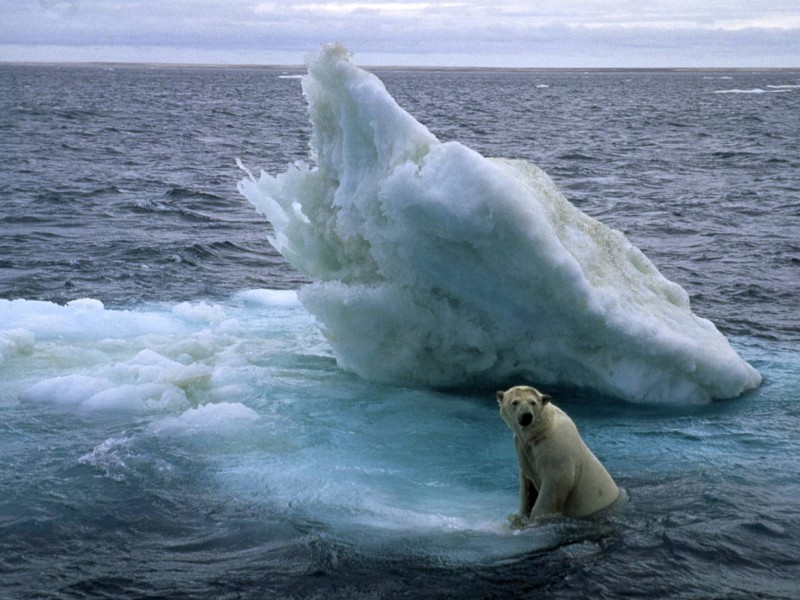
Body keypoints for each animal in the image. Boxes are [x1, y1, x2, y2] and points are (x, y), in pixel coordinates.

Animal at [496, 386, 620, 524]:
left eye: (533, 402)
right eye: (515, 402)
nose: (526, 416)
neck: (540, 431)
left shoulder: (557, 450)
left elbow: (554, 486)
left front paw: (536, 518)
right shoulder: (523, 448)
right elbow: (527, 486)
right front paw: (517, 517)